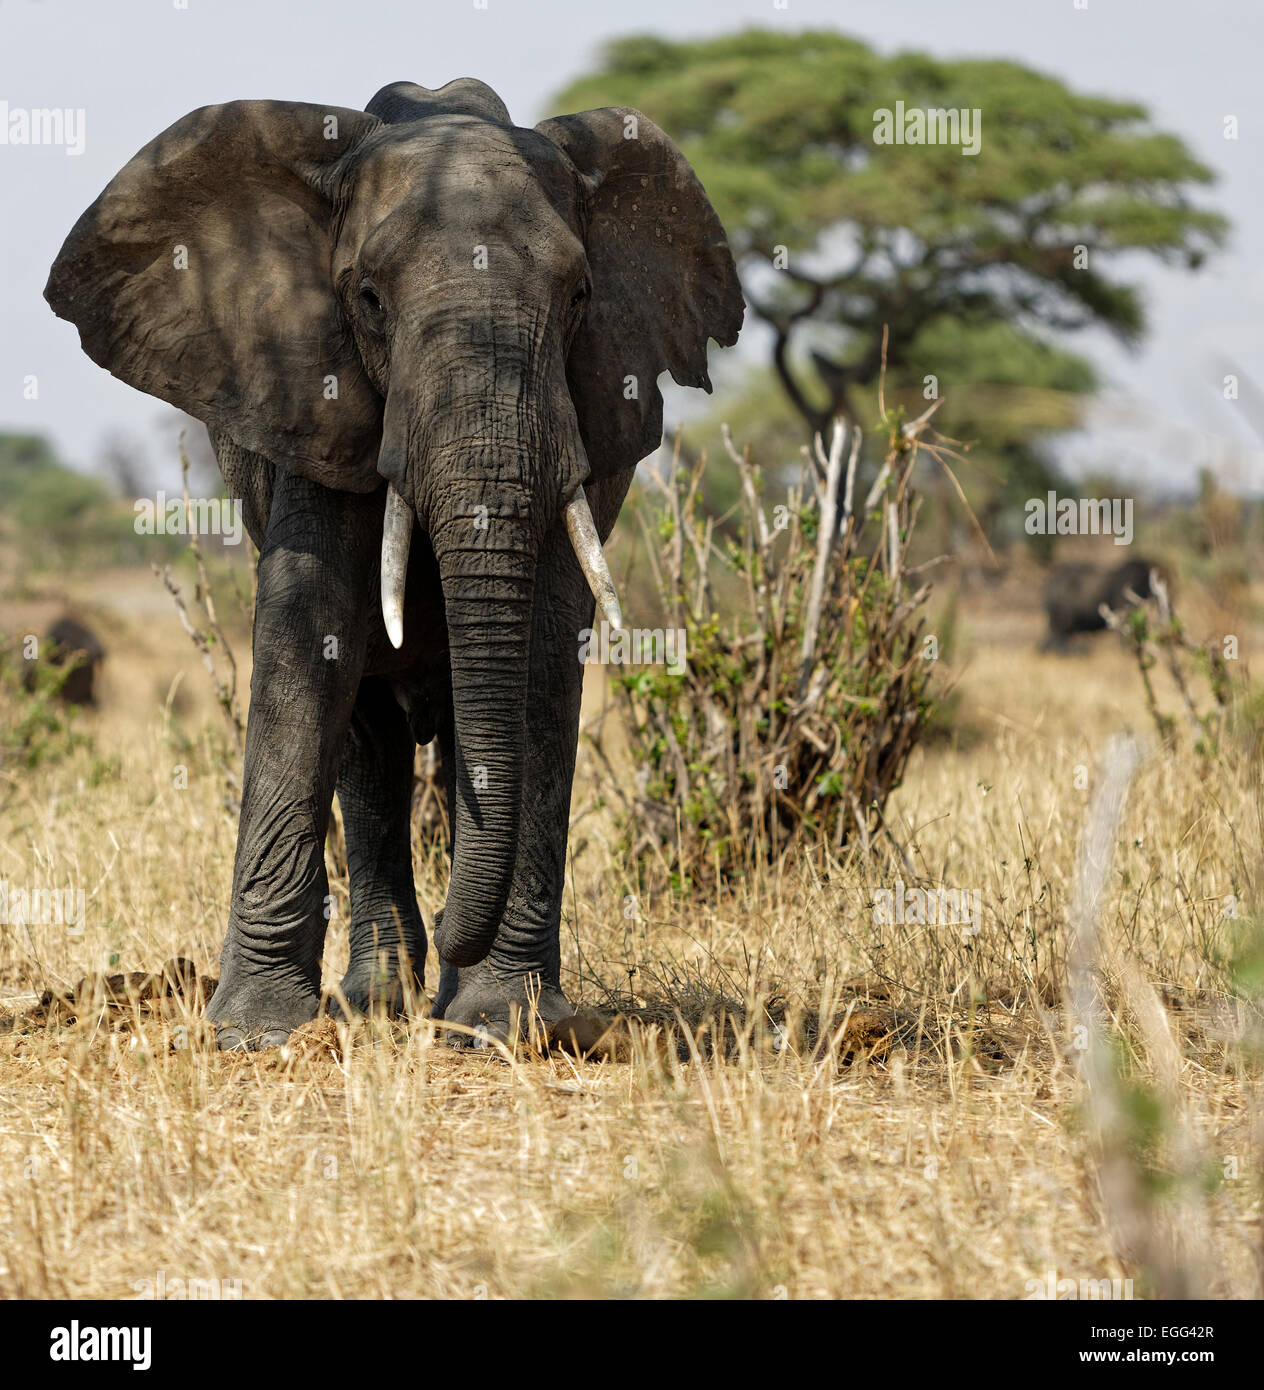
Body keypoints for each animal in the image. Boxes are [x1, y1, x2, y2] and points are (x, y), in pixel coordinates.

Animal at [44, 78, 745, 1050]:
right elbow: (314, 630)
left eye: (580, 295)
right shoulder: (311, 390)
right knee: (371, 748)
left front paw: (500, 1024)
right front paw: (253, 1035)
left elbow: (541, 654)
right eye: (369, 298)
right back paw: (380, 996)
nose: (457, 934)